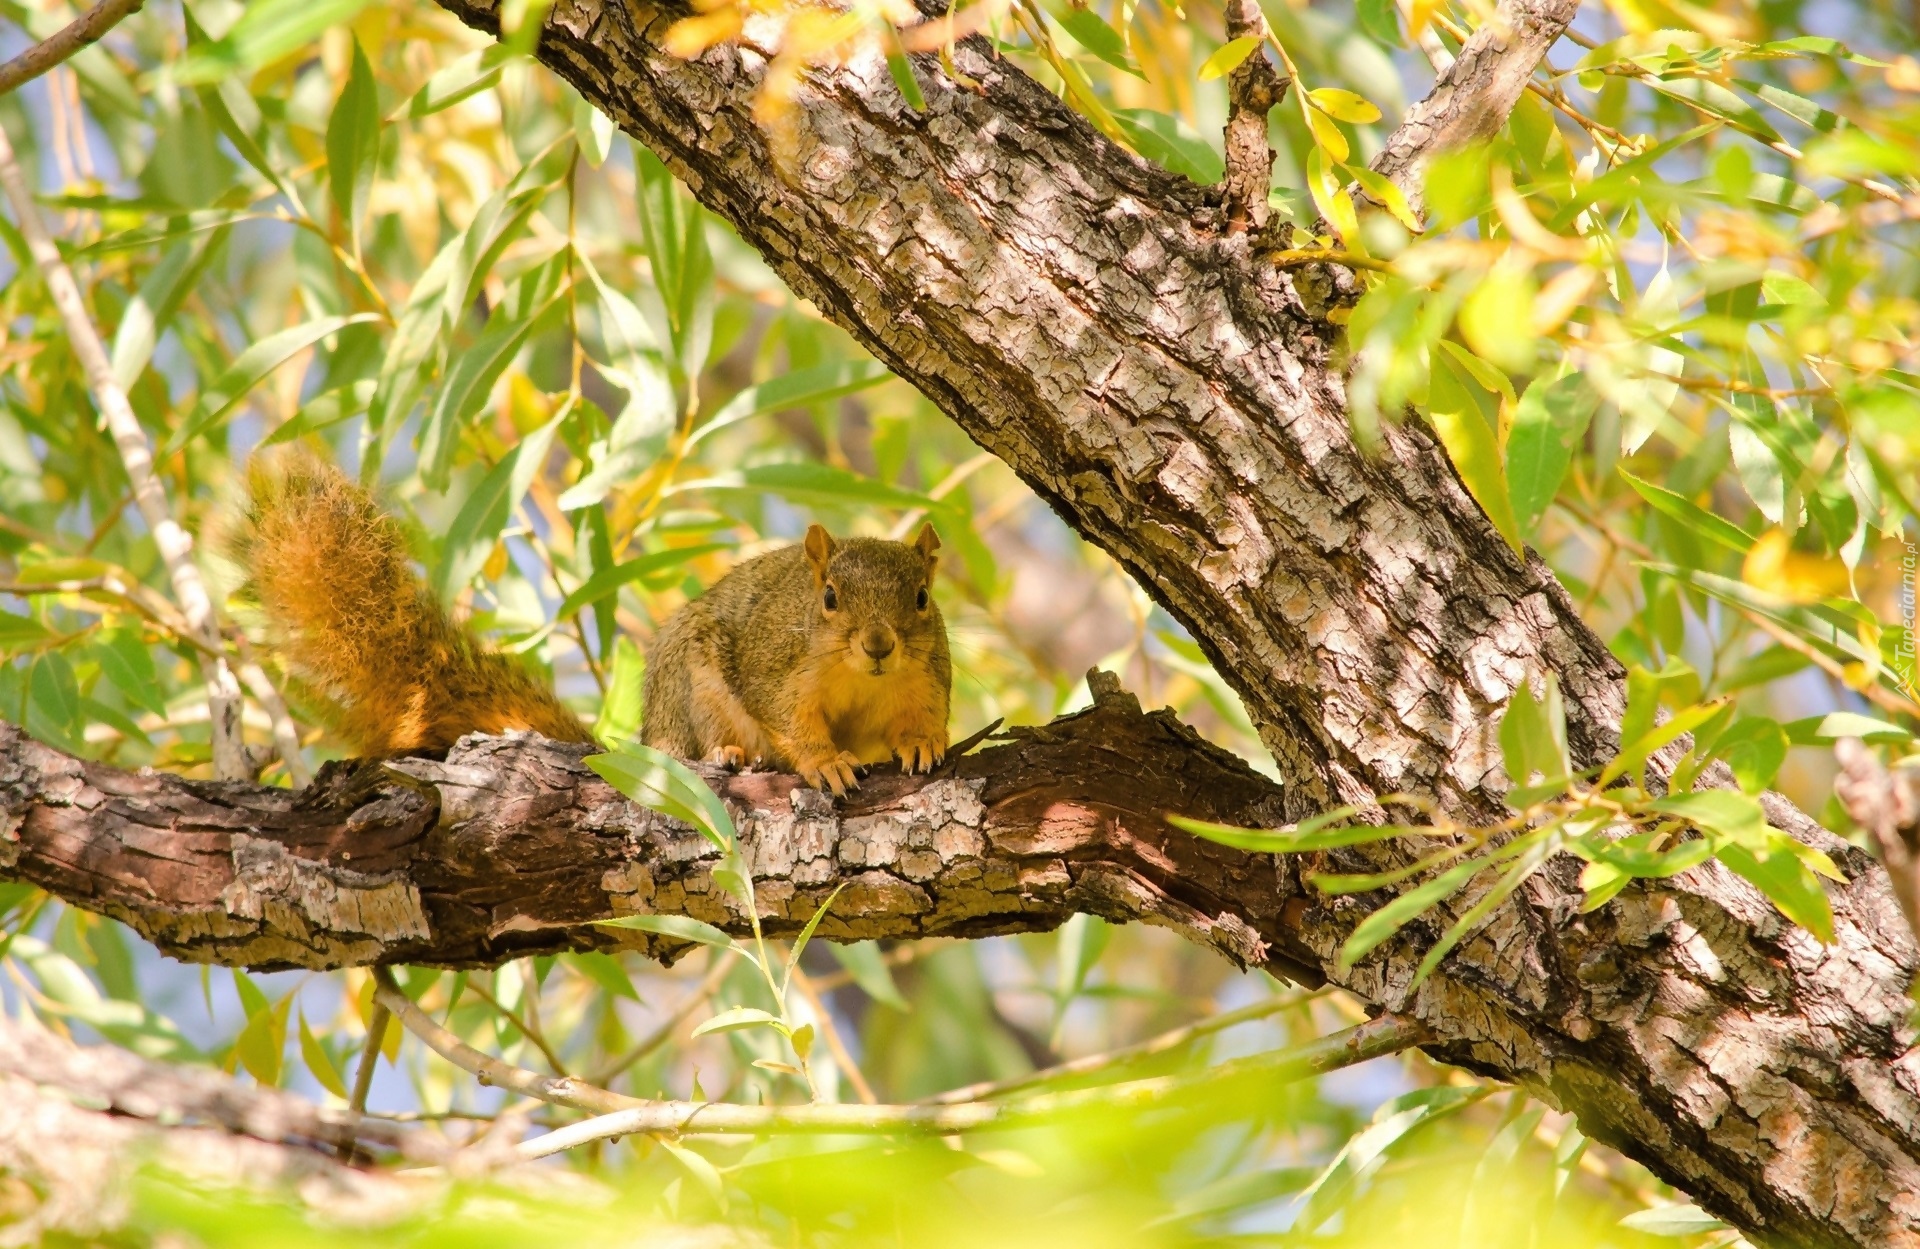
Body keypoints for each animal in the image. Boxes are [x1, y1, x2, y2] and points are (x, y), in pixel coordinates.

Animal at [232, 454, 952, 798]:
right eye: (829, 597)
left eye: (922, 597)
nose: (879, 644)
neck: (862, 681)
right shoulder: (778, 668)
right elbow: (790, 719)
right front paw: (826, 762)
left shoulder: (927, 676)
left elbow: (923, 718)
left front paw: (921, 742)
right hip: (685, 685)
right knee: (687, 743)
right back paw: (725, 753)